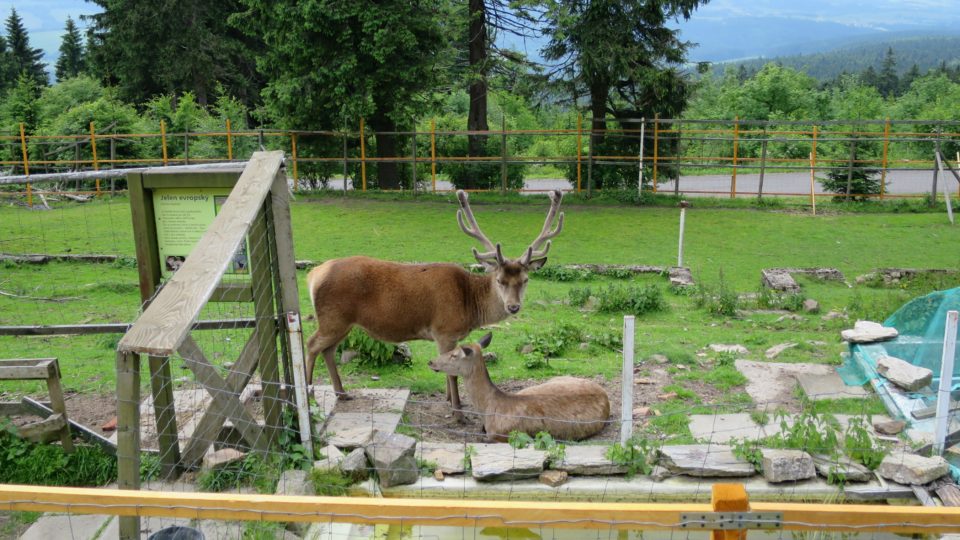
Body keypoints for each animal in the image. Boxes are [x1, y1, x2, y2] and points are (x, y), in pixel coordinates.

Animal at [308, 191, 564, 422]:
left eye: (525, 280)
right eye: (500, 280)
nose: (513, 307)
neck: (469, 306)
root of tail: (313, 275)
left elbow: (447, 368)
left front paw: (449, 400)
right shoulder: (444, 330)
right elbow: (451, 373)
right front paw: (458, 413)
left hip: (344, 323)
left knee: (328, 350)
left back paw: (342, 394)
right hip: (333, 317)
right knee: (311, 345)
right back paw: (310, 395)